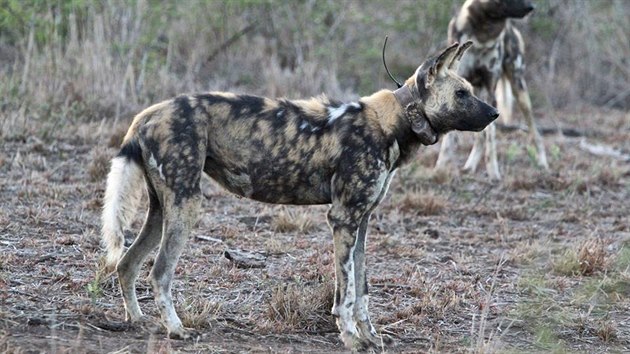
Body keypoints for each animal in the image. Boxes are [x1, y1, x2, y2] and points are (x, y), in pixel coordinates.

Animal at [102, 41, 498, 352]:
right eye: (462, 93)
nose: (494, 112)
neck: (396, 120)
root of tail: (146, 114)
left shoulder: (362, 222)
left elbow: (362, 288)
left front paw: (370, 337)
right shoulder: (343, 219)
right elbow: (345, 292)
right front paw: (351, 338)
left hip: (162, 208)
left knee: (127, 263)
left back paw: (138, 321)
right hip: (186, 205)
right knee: (159, 271)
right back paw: (176, 329)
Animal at [436, 0, 552, 180]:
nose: (532, 7)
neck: (484, 32)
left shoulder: (490, 88)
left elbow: (490, 137)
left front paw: (494, 173)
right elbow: (450, 139)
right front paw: (440, 168)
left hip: (519, 91)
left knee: (534, 132)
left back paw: (542, 163)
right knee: (480, 136)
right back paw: (469, 166)